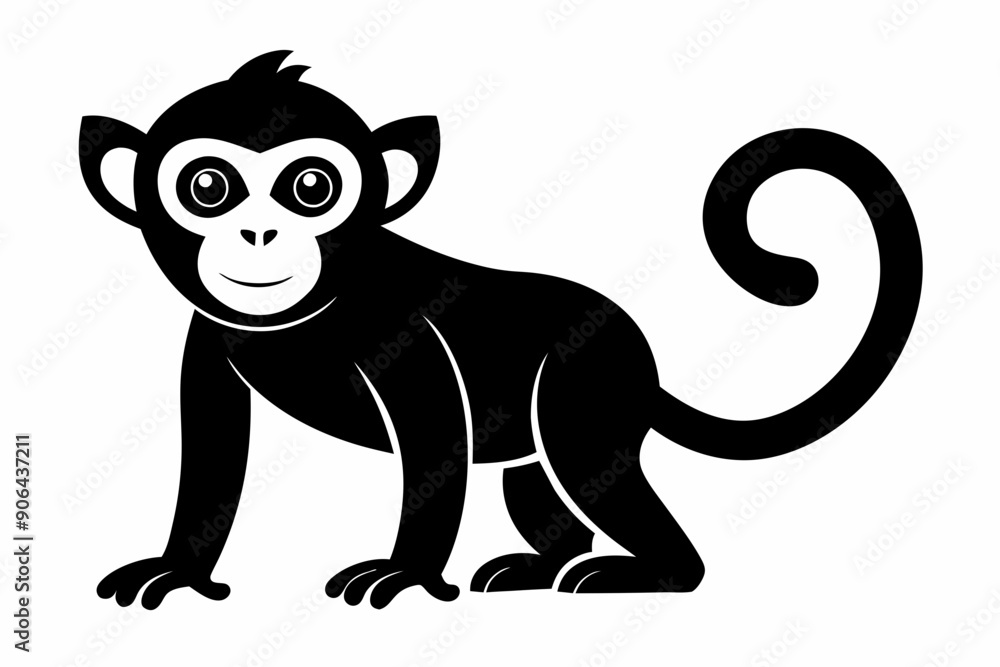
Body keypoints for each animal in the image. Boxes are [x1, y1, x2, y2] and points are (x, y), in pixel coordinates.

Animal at [80, 51, 921, 610]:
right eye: (208, 186)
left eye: (311, 186)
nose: (258, 233)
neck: (305, 315)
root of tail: (638, 355)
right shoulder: (208, 341)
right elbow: (213, 459)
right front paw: (180, 570)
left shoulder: (400, 335)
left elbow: (435, 447)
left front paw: (409, 573)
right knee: (545, 493)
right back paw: (540, 567)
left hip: (584, 395)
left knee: (604, 484)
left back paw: (644, 574)